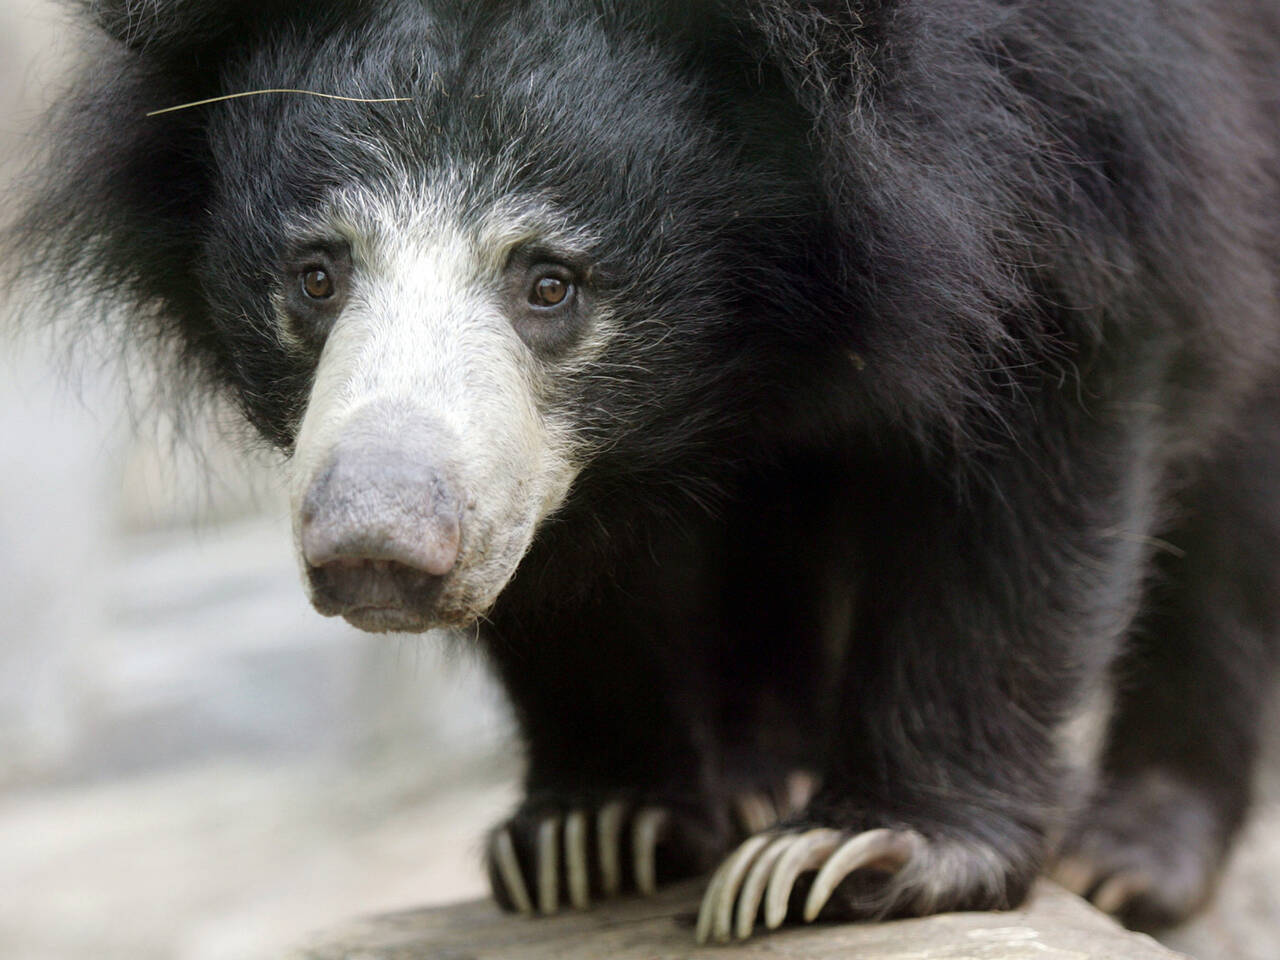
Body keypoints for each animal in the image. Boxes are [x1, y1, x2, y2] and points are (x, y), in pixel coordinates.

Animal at [7, 0, 1280, 947]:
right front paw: (597, 832)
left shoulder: (1081, 129)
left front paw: (855, 854)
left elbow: (1034, 432)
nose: (376, 548)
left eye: (549, 283)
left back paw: (1129, 856)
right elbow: (566, 566)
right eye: (317, 275)